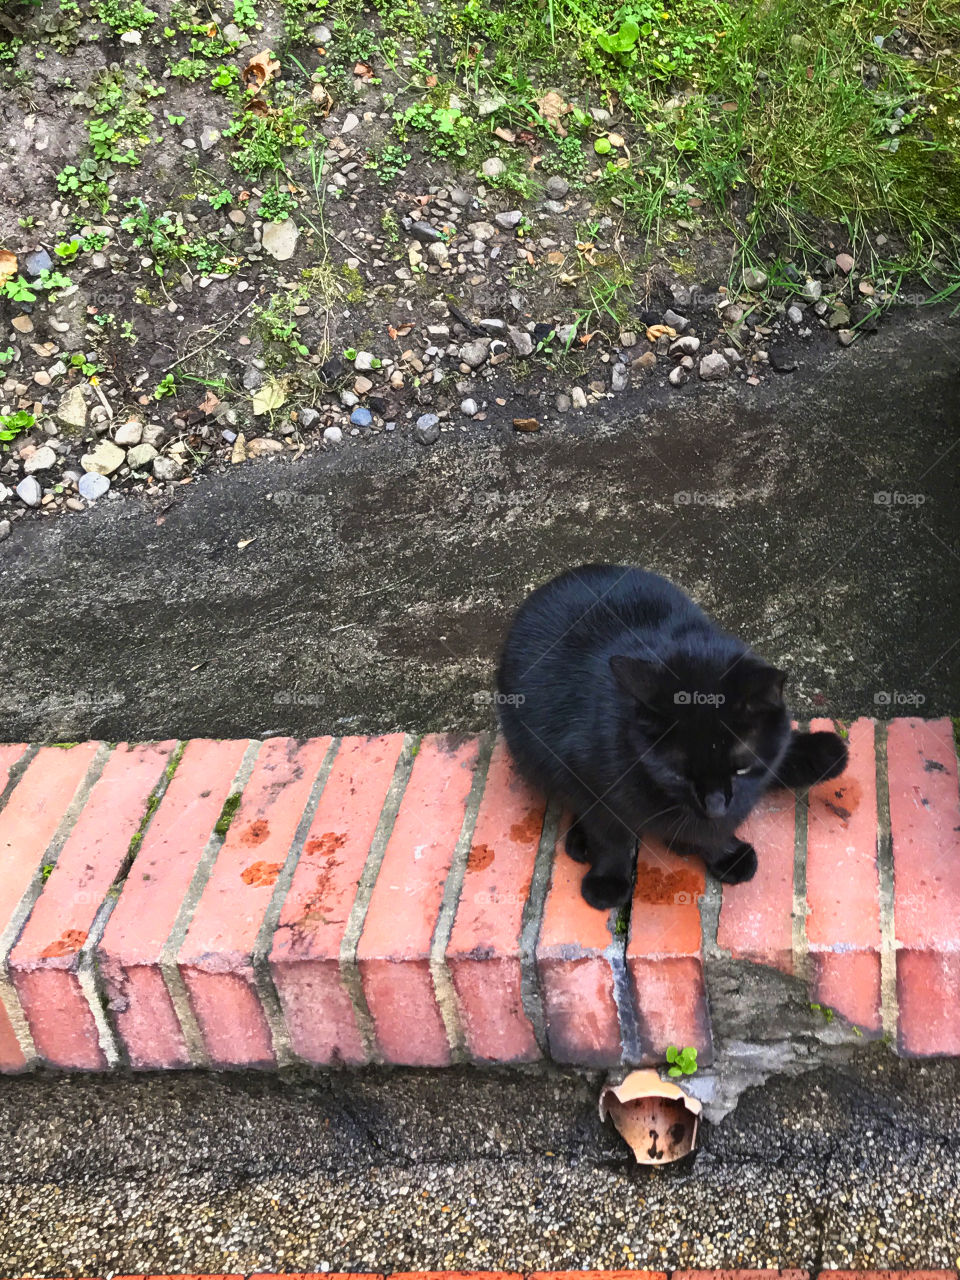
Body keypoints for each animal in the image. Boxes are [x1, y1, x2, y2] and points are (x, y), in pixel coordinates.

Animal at [499, 563, 844, 911]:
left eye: (742, 768)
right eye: (678, 773)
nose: (715, 806)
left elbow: (713, 832)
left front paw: (724, 852)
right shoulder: (588, 779)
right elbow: (610, 836)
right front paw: (609, 878)